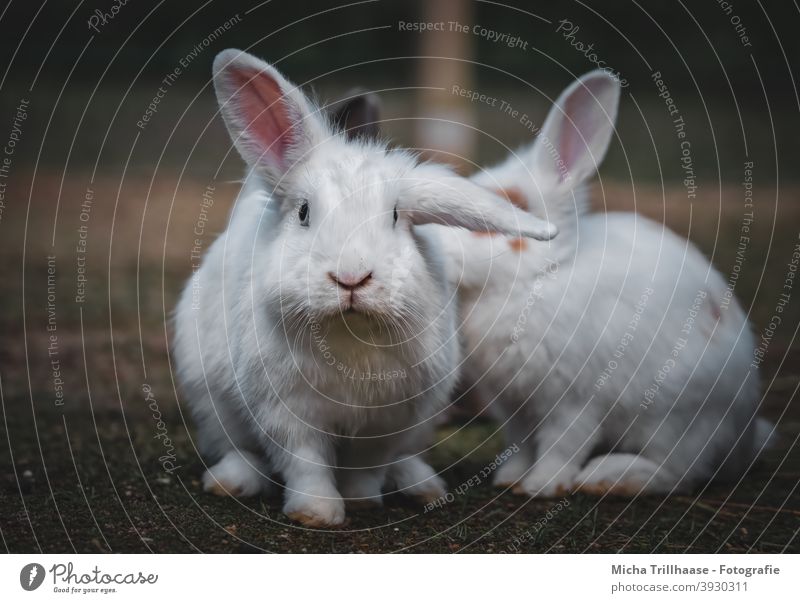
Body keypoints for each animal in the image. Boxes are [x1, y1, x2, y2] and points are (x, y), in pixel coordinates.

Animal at [171, 49, 552, 528]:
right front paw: (316, 513)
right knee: (238, 448)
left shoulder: (389, 420)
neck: (350, 333)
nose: (351, 278)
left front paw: (360, 502)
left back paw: (423, 487)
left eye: (395, 216)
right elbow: (306, 463)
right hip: (211, 401)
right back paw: (230, 482)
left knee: (402, 459)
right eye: (303, 212)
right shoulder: (287, 413)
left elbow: (367, 467)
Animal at [434, 71, 772, 498]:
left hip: (676, 420)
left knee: (679, 472)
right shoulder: (514, 405)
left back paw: (606, 476)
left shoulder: (575, 401)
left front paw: (541, 486)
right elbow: (523, 443)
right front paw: (511, 478)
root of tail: (744, 439)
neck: (539, 277)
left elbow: (562, 446)